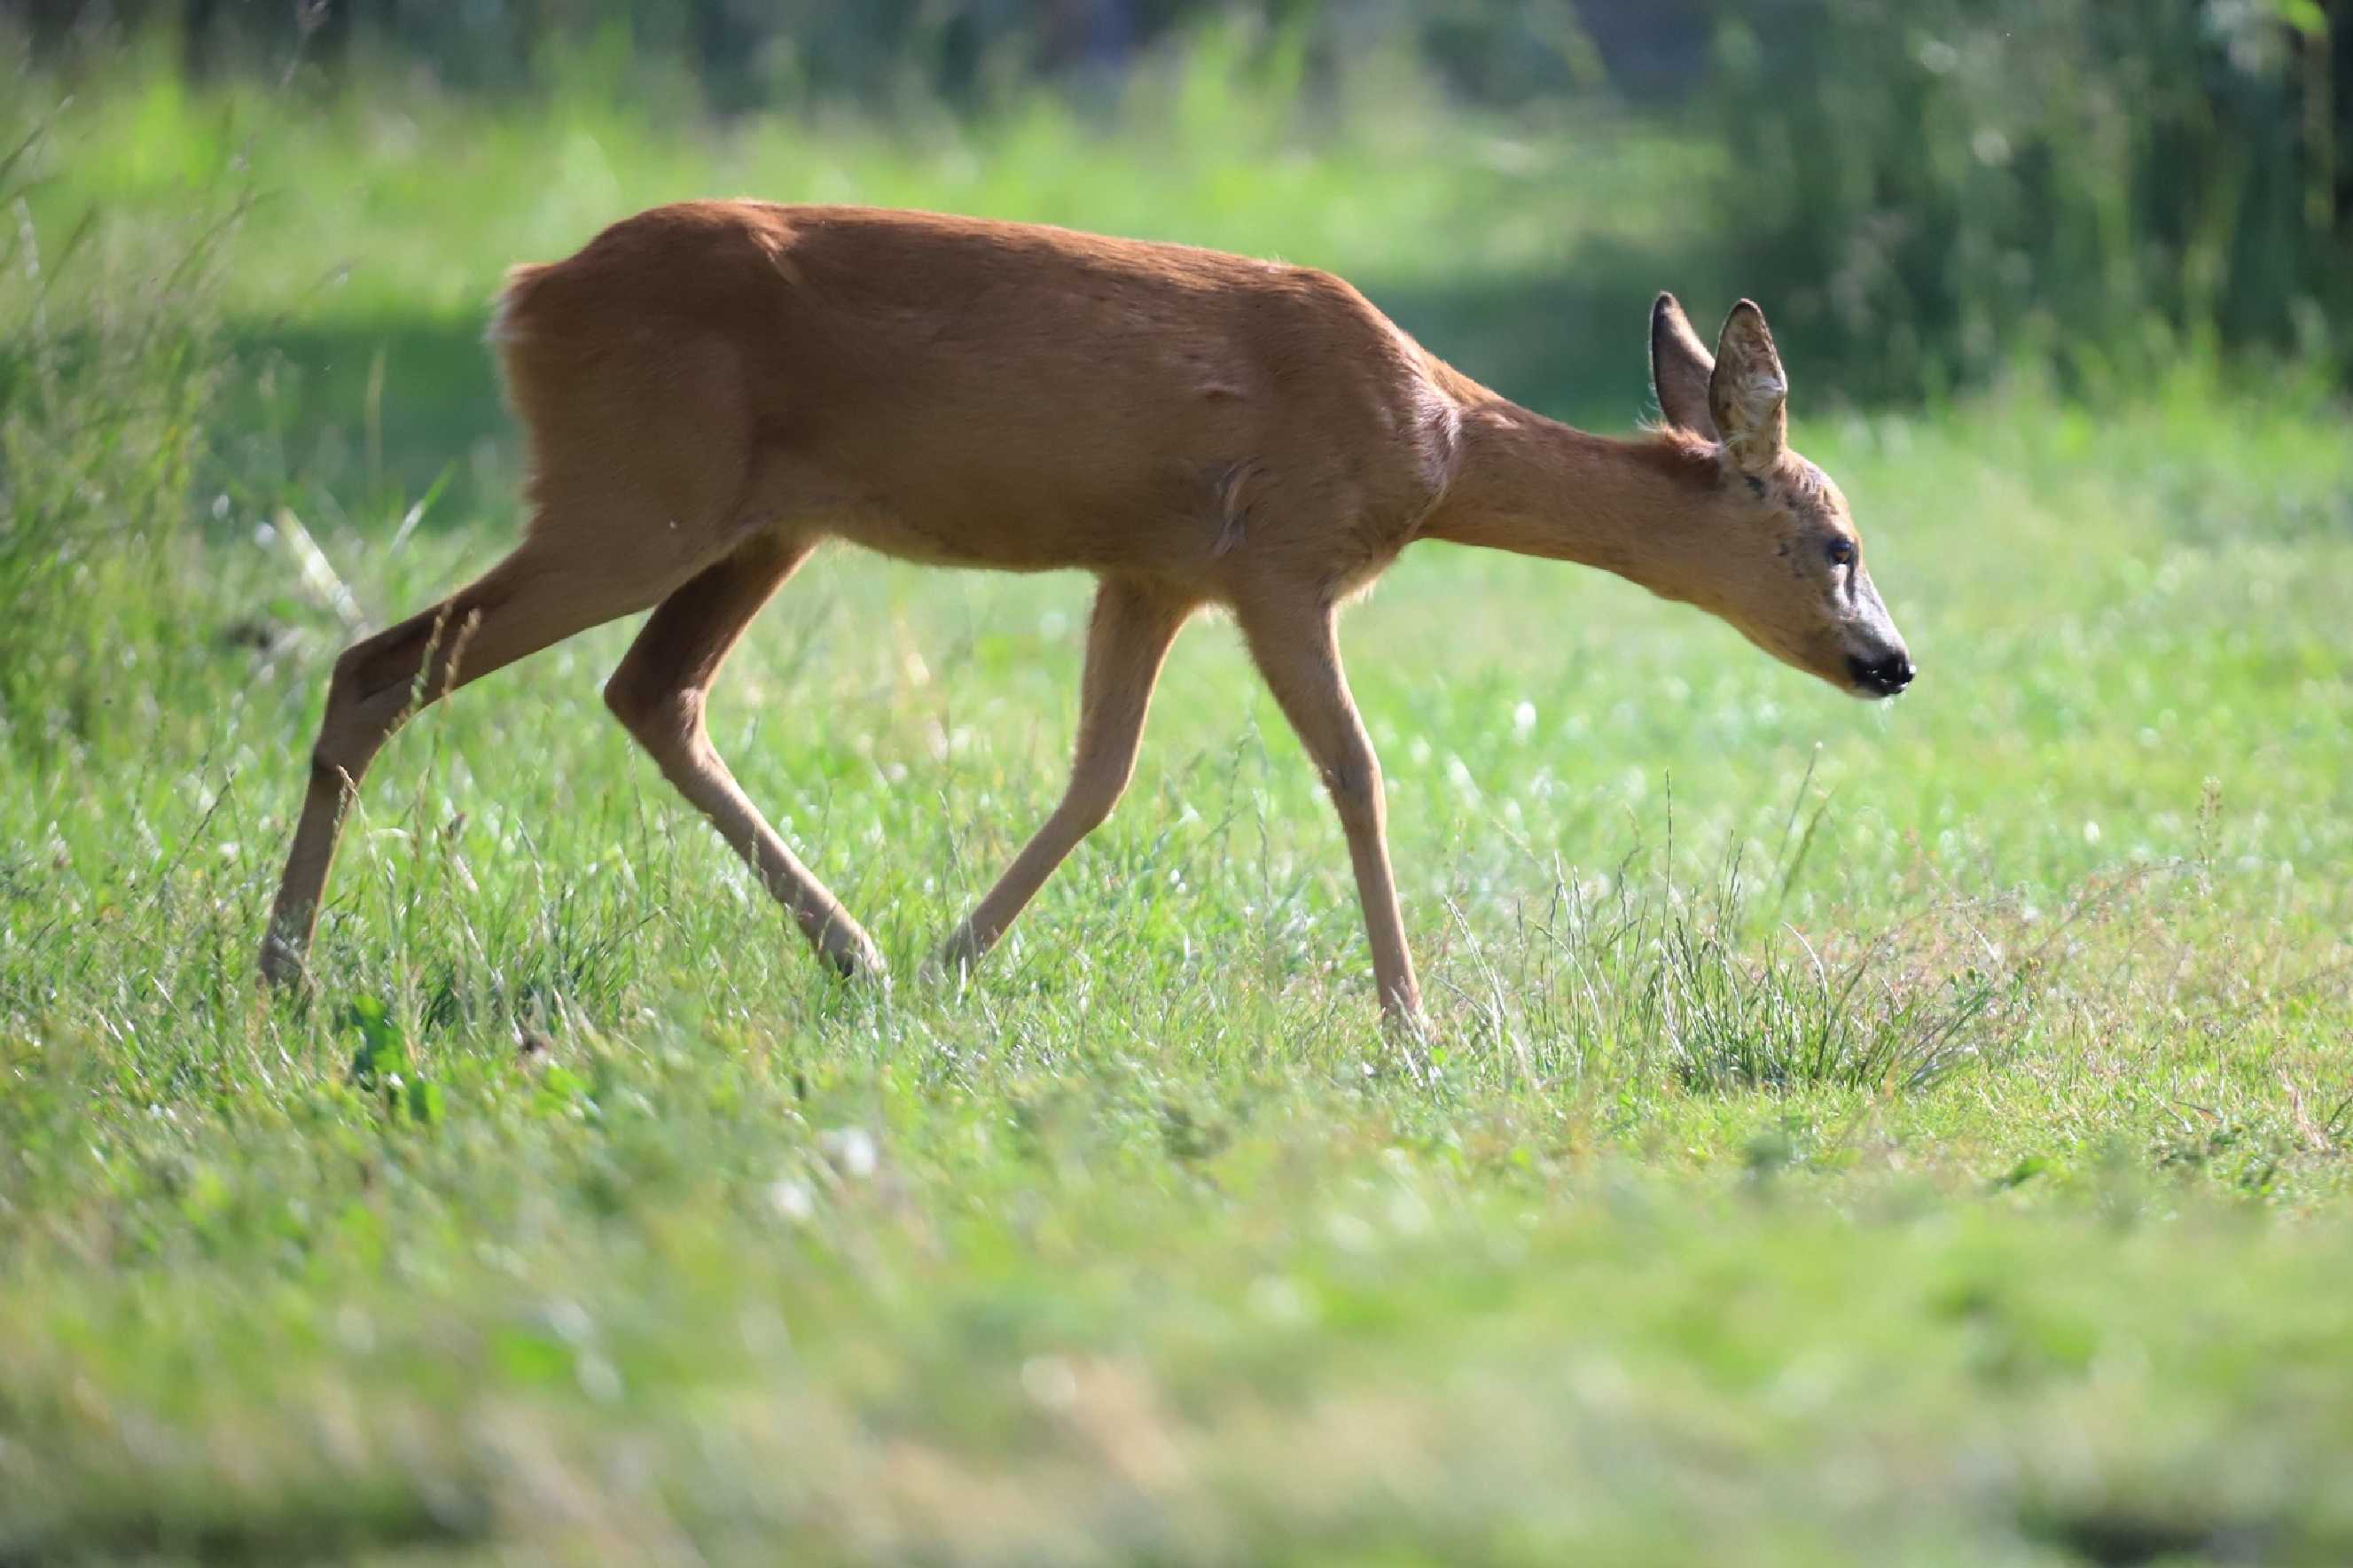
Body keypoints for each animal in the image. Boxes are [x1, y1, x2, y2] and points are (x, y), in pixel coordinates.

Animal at [257, 202, 1911, 1025]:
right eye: (1834, 540)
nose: (1892, 661)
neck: (1433, 439)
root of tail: (525, 295)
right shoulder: (1279, 559)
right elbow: (1355, 772)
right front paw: (1409, 1022)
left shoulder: (1153, 568)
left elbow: (1096, 776)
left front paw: (952, 962)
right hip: (630, 492)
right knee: (380, 659)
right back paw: (283, 968)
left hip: (755, 517)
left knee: (649, 691)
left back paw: (855, 953)